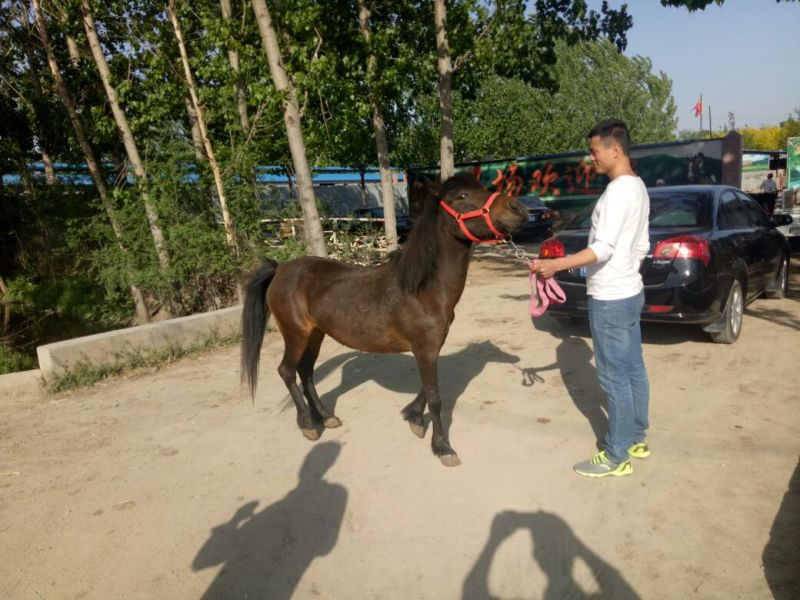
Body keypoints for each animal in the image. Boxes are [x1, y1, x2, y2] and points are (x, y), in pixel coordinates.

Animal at [240, 174, 528, 466]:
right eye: (462, 196)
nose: (519, 209)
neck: (424, 290)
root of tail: (280, 269)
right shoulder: (424, 349)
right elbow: (435, 397)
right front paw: (443, 447)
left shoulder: (430, 348)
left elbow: (426, 390)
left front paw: (414, 418)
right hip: (295, 333)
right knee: (287, 371)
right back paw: (308, 424)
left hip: (315, 334)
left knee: (306, 372)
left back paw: (326, 417)